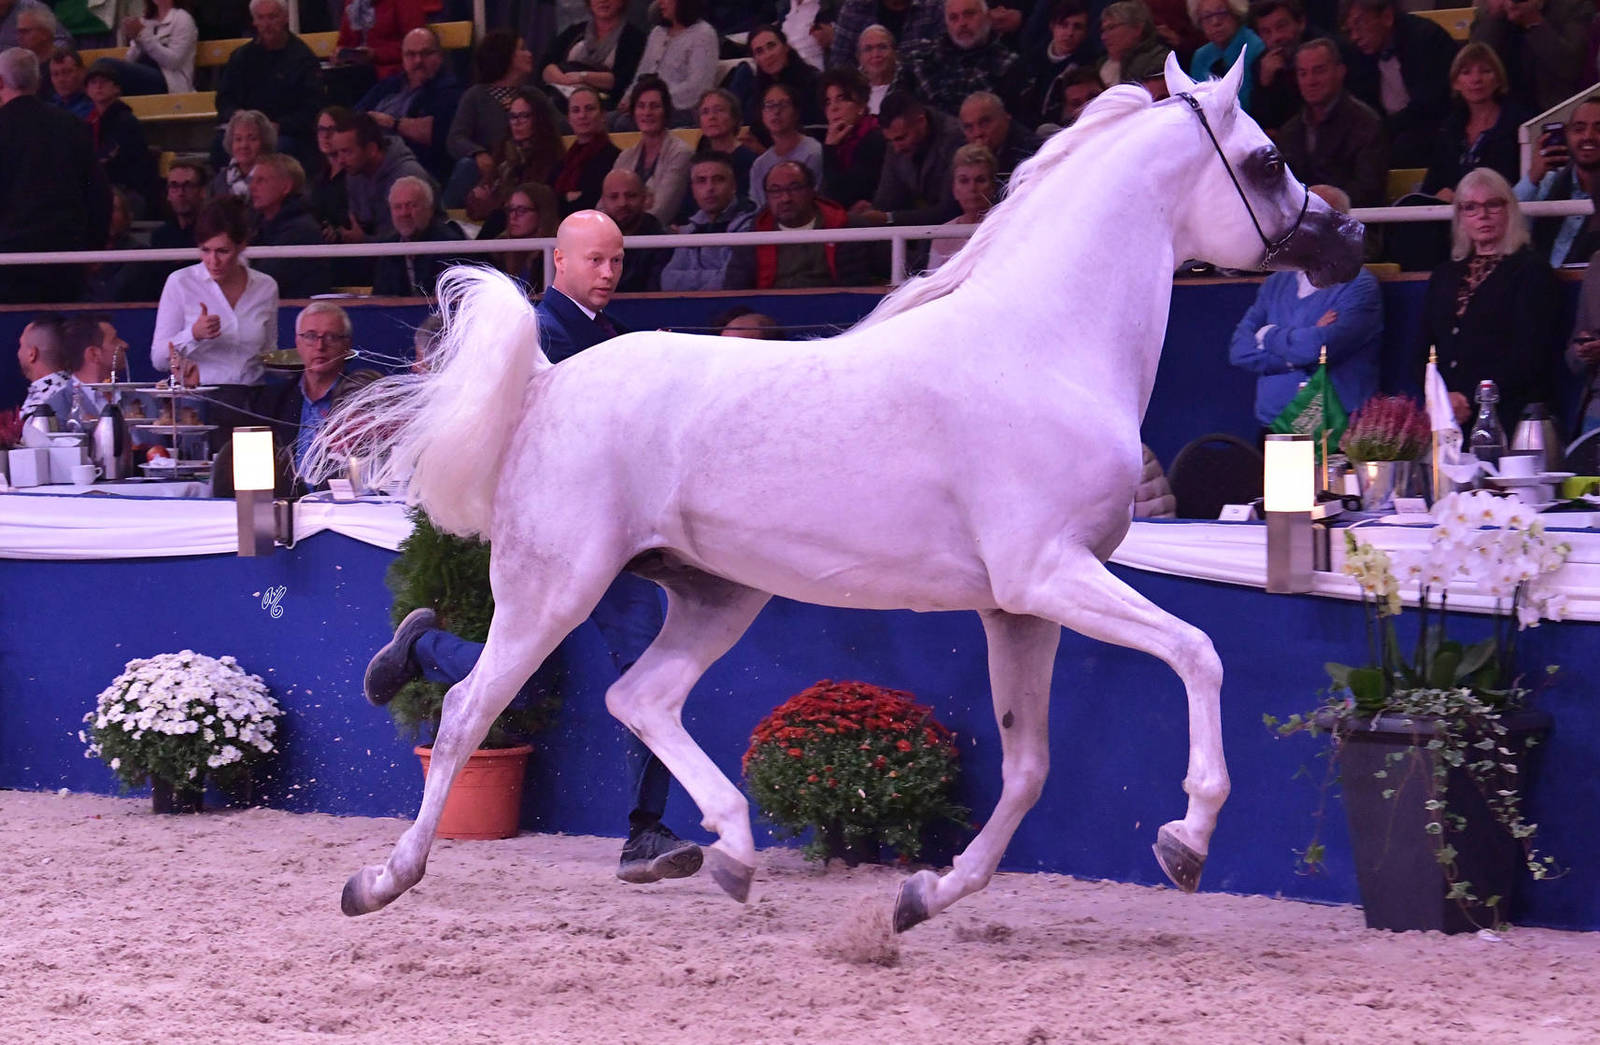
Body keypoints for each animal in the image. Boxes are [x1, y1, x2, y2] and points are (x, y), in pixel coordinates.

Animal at [316, 53, 1364, 932]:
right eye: (1269, 159)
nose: (1349, 239)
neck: (1045, 347)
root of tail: (546, 382)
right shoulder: (1049, 578)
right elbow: (1198, 653)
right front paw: (1187, 840)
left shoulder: (1018, 607)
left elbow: (1028, 769)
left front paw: (924, 895)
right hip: (553, 590)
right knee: (469, 711)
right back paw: (381, 877)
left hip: (715, 594)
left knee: (638, 697)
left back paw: (733, 853)